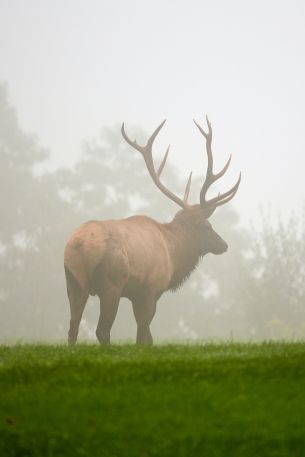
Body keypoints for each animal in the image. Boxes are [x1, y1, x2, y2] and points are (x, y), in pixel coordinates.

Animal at [64, 116, 240, 344]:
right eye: (207, 226)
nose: (224, 244)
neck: (173, 254)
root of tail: (78, 245)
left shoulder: (138, 295)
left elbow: (147, 337)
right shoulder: (150, 290)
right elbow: (144, 337)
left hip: (73, 281)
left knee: (73, 328)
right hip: (111, 284)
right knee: (102, 330)